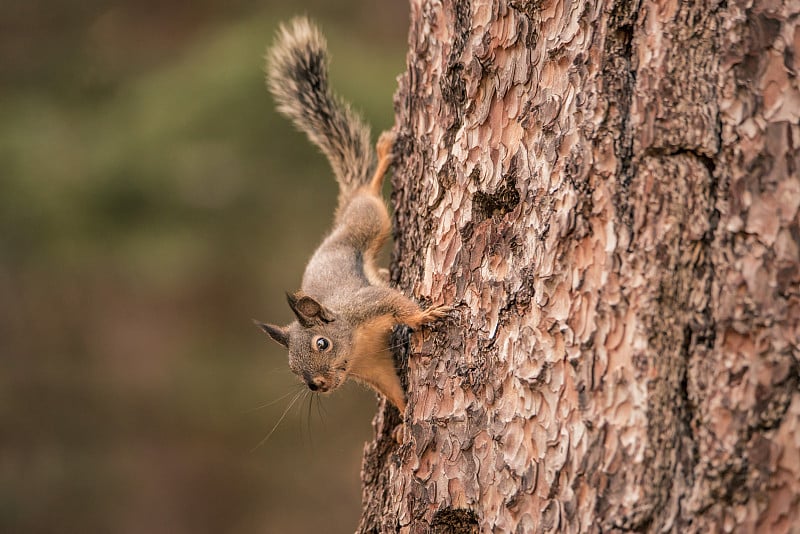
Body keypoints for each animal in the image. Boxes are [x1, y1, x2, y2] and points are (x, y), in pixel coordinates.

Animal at [260, 15, 454, 410]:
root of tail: (341, 216)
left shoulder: (370, 304)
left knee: (369, 193)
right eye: (292, 368)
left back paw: (381, 160)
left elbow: (401, 305)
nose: (316, 384)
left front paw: (426, 314)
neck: (356, 345)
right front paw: (407, 418)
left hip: (369, 220)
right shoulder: (374, 367)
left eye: (322, 343)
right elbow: (395, 392)